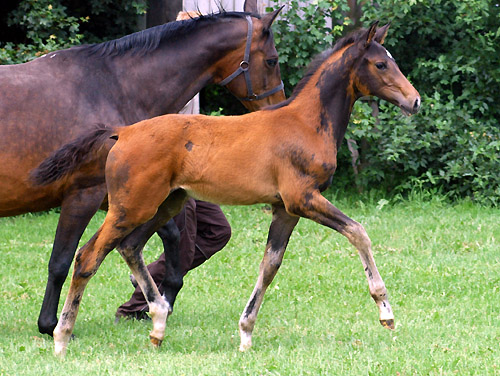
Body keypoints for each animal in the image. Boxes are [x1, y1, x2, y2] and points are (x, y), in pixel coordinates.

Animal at [0, 1, 286, 336]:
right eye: (272, 60)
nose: (279, 109)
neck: (112, 88)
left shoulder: (132, 196)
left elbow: (171, 235)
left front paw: (163, 295)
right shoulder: (84, 195)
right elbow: (61, 260)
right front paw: (49, 324)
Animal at [33, 21, 420, 356]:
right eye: (381, 64)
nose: (414, 101)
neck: (306, 122)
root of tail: (122, 132)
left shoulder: (285, 209)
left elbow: (270, 266)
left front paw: (246, 333)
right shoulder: (303, 199)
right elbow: (358, 232)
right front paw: (386, 311)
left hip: (165, 204)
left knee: (129, 247)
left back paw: (158, 324)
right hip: (130, 207)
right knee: (87, 257)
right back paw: (61, 336)